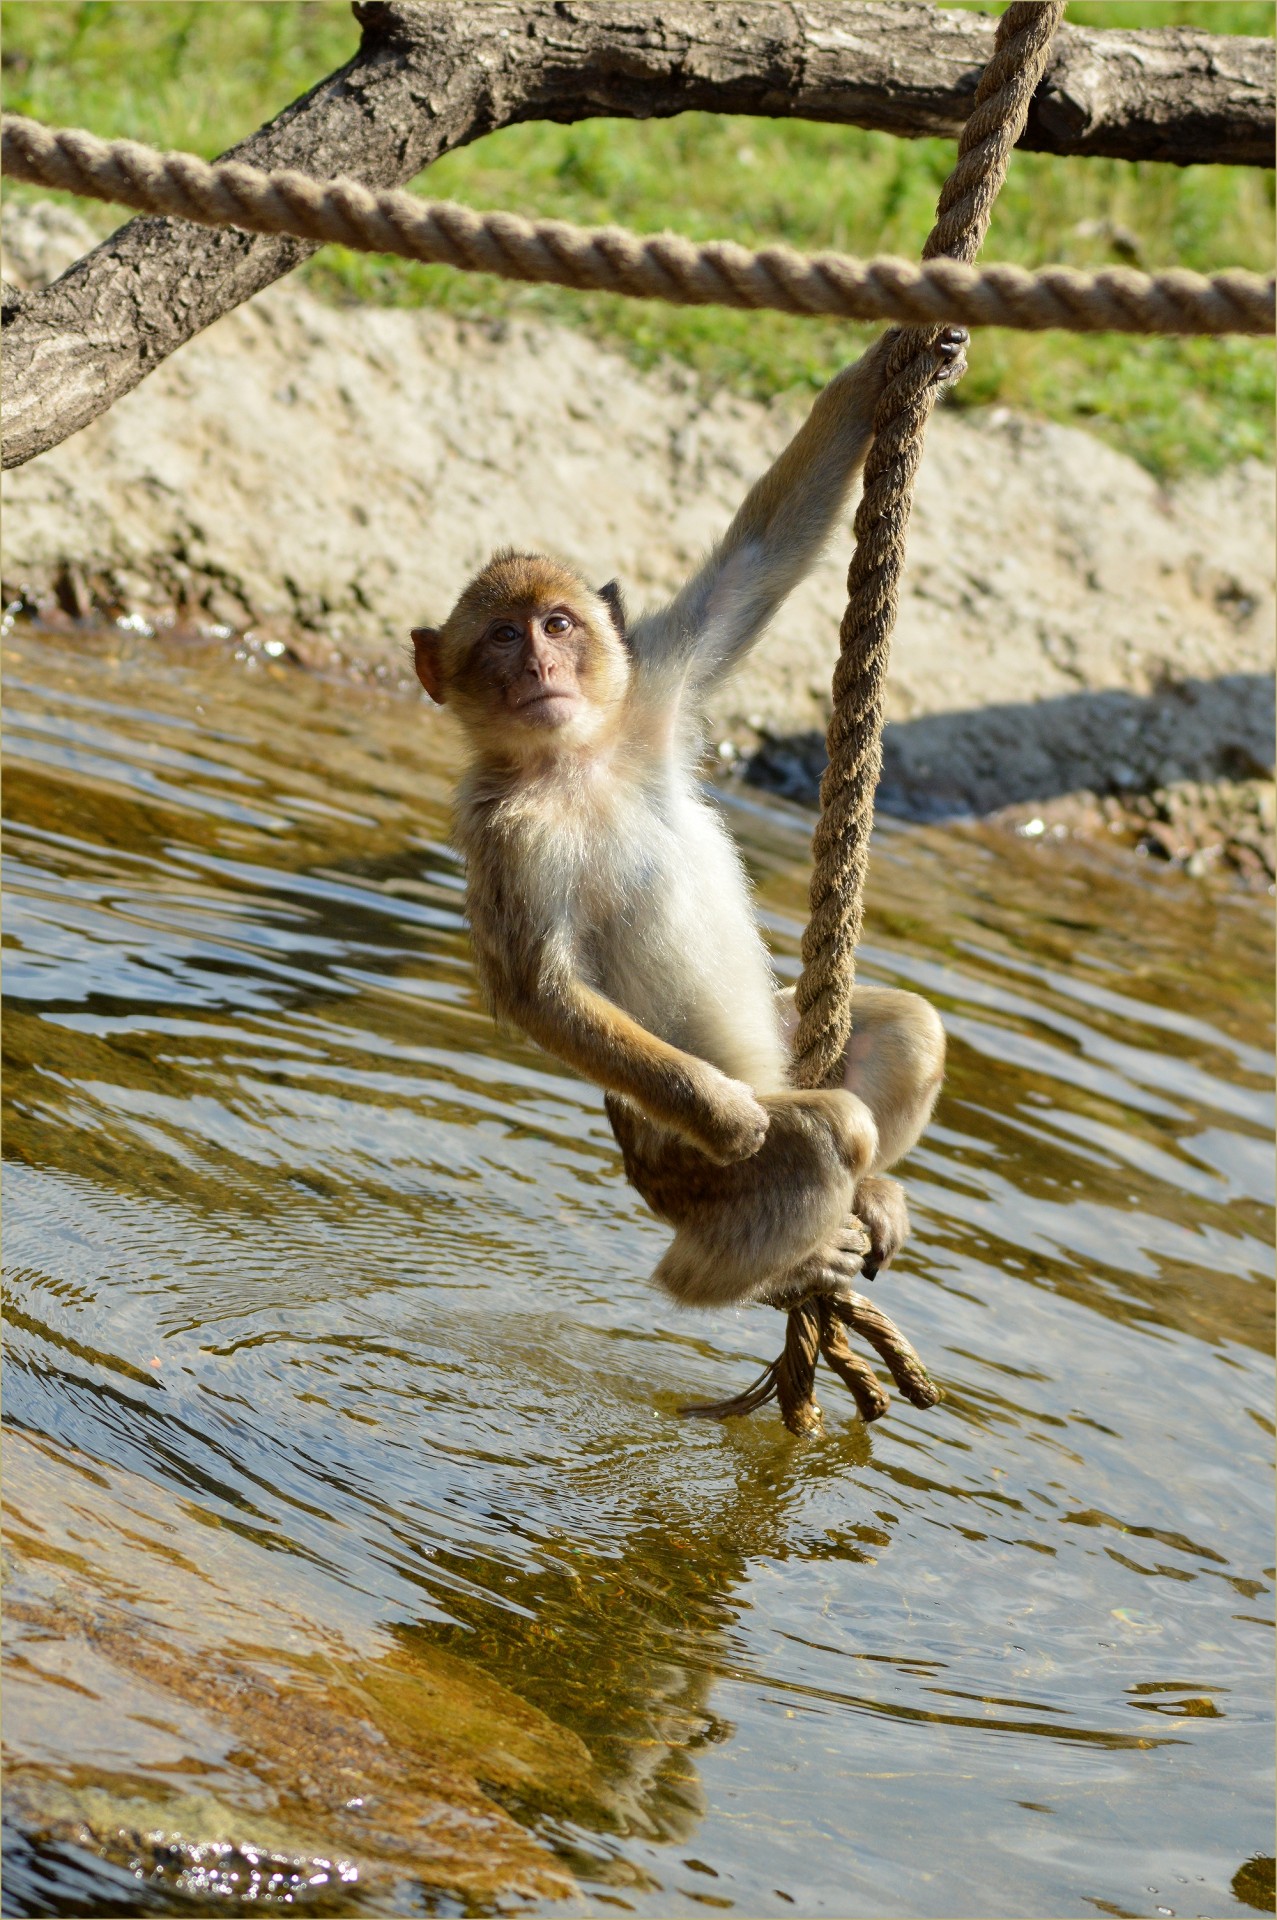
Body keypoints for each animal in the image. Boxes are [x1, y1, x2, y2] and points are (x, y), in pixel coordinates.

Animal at [412, 322, 960, 1305]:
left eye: (557, 625)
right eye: (502, 637)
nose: (539, 670)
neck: (578, 760)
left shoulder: (653, 686)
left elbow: (755, 562)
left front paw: (900, 356)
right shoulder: (504, 831)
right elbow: (538, 989)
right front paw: (727, 1116)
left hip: (782, 1043)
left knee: (909, 1029)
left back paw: (870, 1194)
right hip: (685, 1171)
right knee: (821, 1136)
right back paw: (760, 1266)